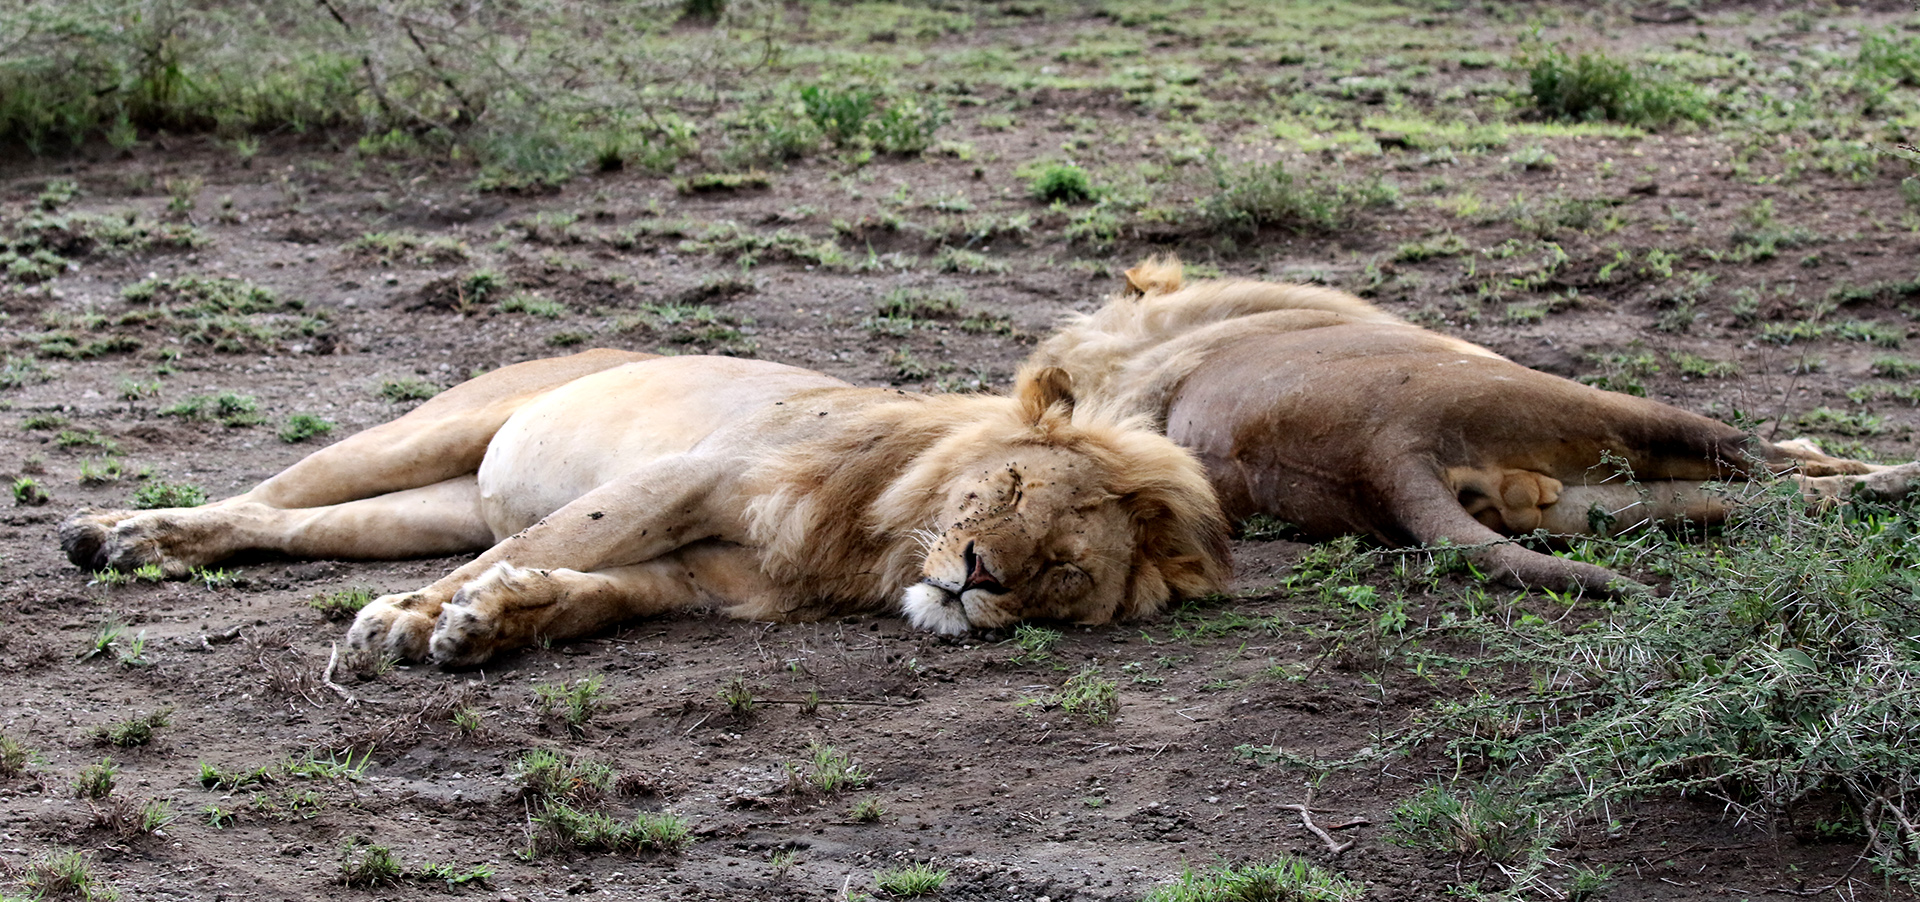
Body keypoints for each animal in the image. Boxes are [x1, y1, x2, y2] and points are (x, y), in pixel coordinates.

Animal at [67, 349, 1228, 664]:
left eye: (1062, 571)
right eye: (1015, 486)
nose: (977, 574)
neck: (882, 543)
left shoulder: (707, 578)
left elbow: (585, 587)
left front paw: (489, 625)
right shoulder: (690, 476)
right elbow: (562, 536)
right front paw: (402, 622)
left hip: (429, 506)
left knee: (288, 527)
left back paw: (148, 550)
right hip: (433, 429)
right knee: (269, 489)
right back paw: (117, 532)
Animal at [1029, 255, 1912, 591]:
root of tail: (1380, 454)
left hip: (1596, 504)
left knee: (1782, 499)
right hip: (1583, 402)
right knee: (1763, 459)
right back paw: (1898, 475)